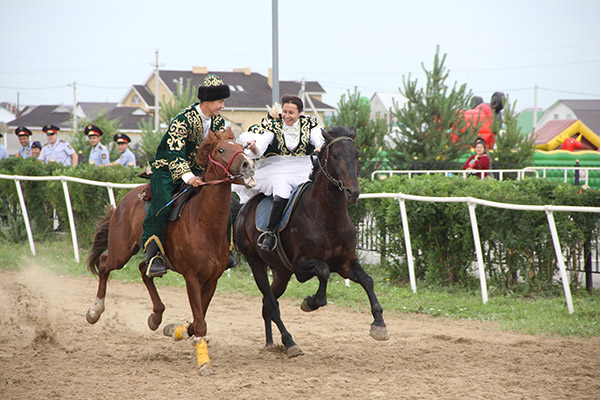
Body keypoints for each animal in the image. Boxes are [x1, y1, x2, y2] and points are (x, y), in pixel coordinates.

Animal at [84, 130, 253, 374]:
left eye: (240, 146)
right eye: (221, 149)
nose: (248, 165)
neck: (203, 222)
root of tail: (125, 201)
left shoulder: (212, 279)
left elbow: (198, 320)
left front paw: (175, 329)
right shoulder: (192, 277)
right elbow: (200, 322)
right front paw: (204, 362)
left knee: (144, 268)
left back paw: (156, 316)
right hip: (121, 250)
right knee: (105, 264)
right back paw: (95, 311)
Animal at [233, 126, 390, 356]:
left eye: (356, 155)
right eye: (335, 156)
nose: (353, 192)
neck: (328, 217)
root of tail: (244, 209)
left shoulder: (345, 263)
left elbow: (367, 280)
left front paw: (379, 324)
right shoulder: (300, 265)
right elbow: (323, 271)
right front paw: (311, 302)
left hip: (281, 271)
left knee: (267, 302)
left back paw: (271, 342)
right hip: (256, 263)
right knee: (271, 303)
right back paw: (289, 342)